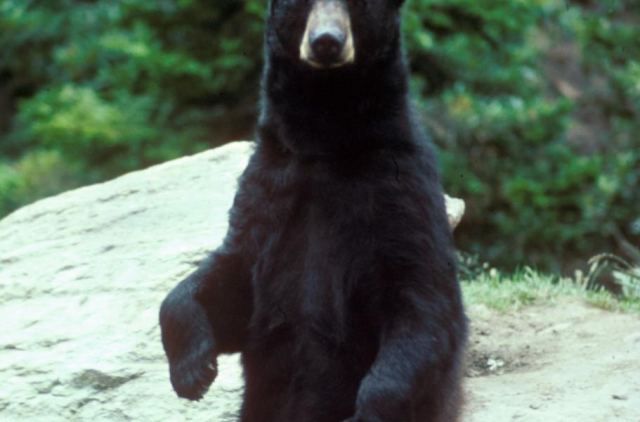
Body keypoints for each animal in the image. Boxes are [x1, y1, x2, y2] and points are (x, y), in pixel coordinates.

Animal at [159, 0, 468, 421]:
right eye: (300, 3)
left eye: (358, 4)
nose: (326, 41)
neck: (325, 142)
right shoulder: (271, 185)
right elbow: (232, 274)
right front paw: (193, 369)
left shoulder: (399, 189)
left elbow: (422, 302)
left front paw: (368, 408)